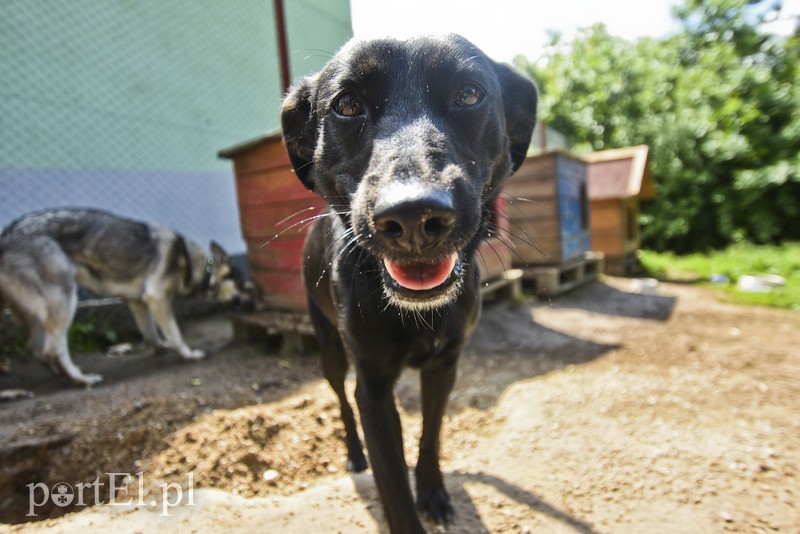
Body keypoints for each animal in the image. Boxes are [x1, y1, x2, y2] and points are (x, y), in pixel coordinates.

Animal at [282, 35, 536, 532]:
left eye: (469, 94)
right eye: (346, 104)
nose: (414, 215)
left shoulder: (444, 365)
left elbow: (430, 435)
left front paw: (432, 491)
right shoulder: (373, 388)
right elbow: (391, 483)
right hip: (329, 349)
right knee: (340, 402)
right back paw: (354, 454)